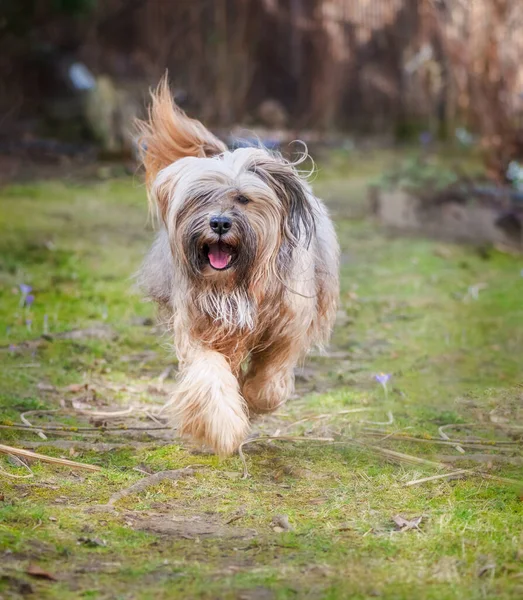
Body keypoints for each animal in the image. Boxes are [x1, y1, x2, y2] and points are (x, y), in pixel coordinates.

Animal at [136, 78, 340, 454]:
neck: (239, 283)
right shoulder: (200, 326)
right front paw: (224, 426)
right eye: (200, 199)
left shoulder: (287, 326)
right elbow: (209, 373)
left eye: (243, 199)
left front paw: (255, 398)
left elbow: (271, 375)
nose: (218, 223)